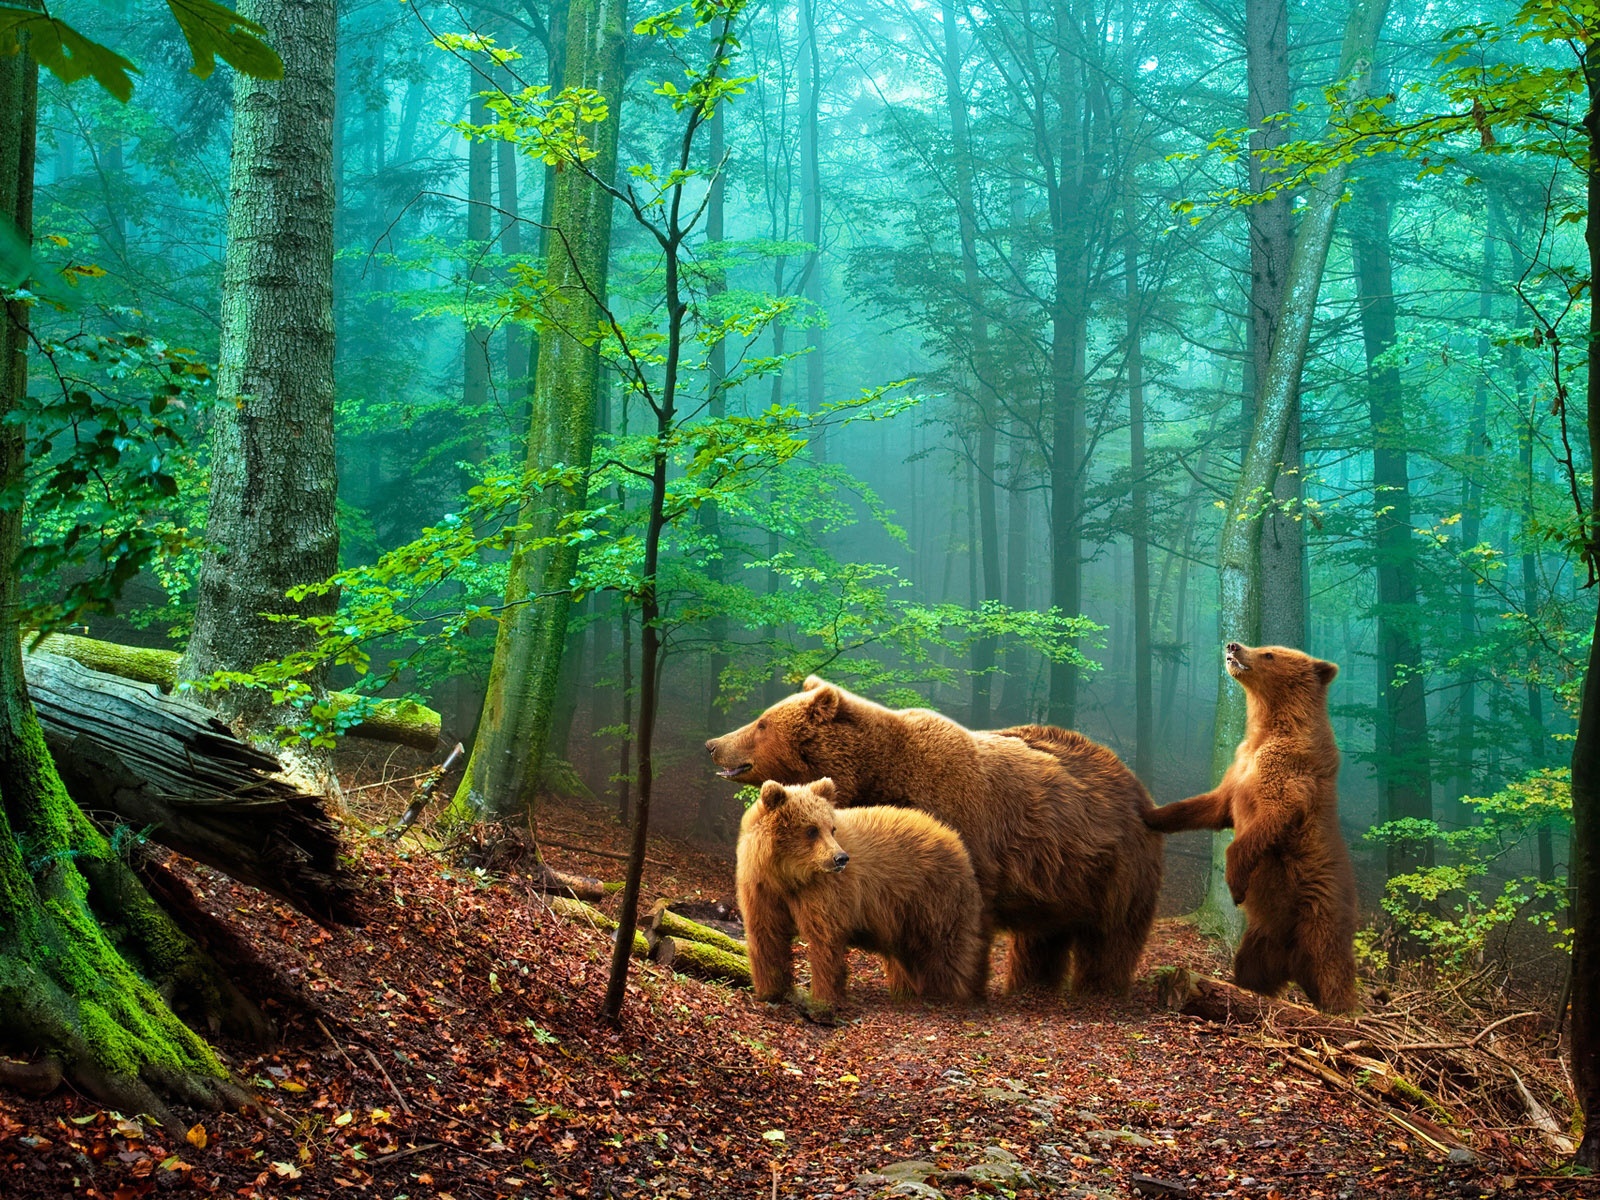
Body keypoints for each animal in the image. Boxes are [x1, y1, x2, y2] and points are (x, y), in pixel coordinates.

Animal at [736, 784, 985, 1011]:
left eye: (831, 828)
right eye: (811, 829)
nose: (841, 858)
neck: (787, 875)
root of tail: (952, 836)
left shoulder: (825, 892)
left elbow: (824, 940)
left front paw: (822, 999)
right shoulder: (762, 889)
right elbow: (766, 934)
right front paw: (770, 991)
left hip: (935, 899)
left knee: (947, 950)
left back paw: (951, 993)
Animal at [1145, 640, 1356, 1017]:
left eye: (1270, 653)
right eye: (1263, 646)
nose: (1233, 644)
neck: (1266, 730)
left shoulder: (1287, 774)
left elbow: (1265, 822)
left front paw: (1236, 884)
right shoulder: (1238, 769)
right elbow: (1210, 807)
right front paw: (1151, 812)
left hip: (1319, 917)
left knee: (1331, 969)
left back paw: (1342, 1010)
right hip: (1262, 940)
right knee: (1253, 968)